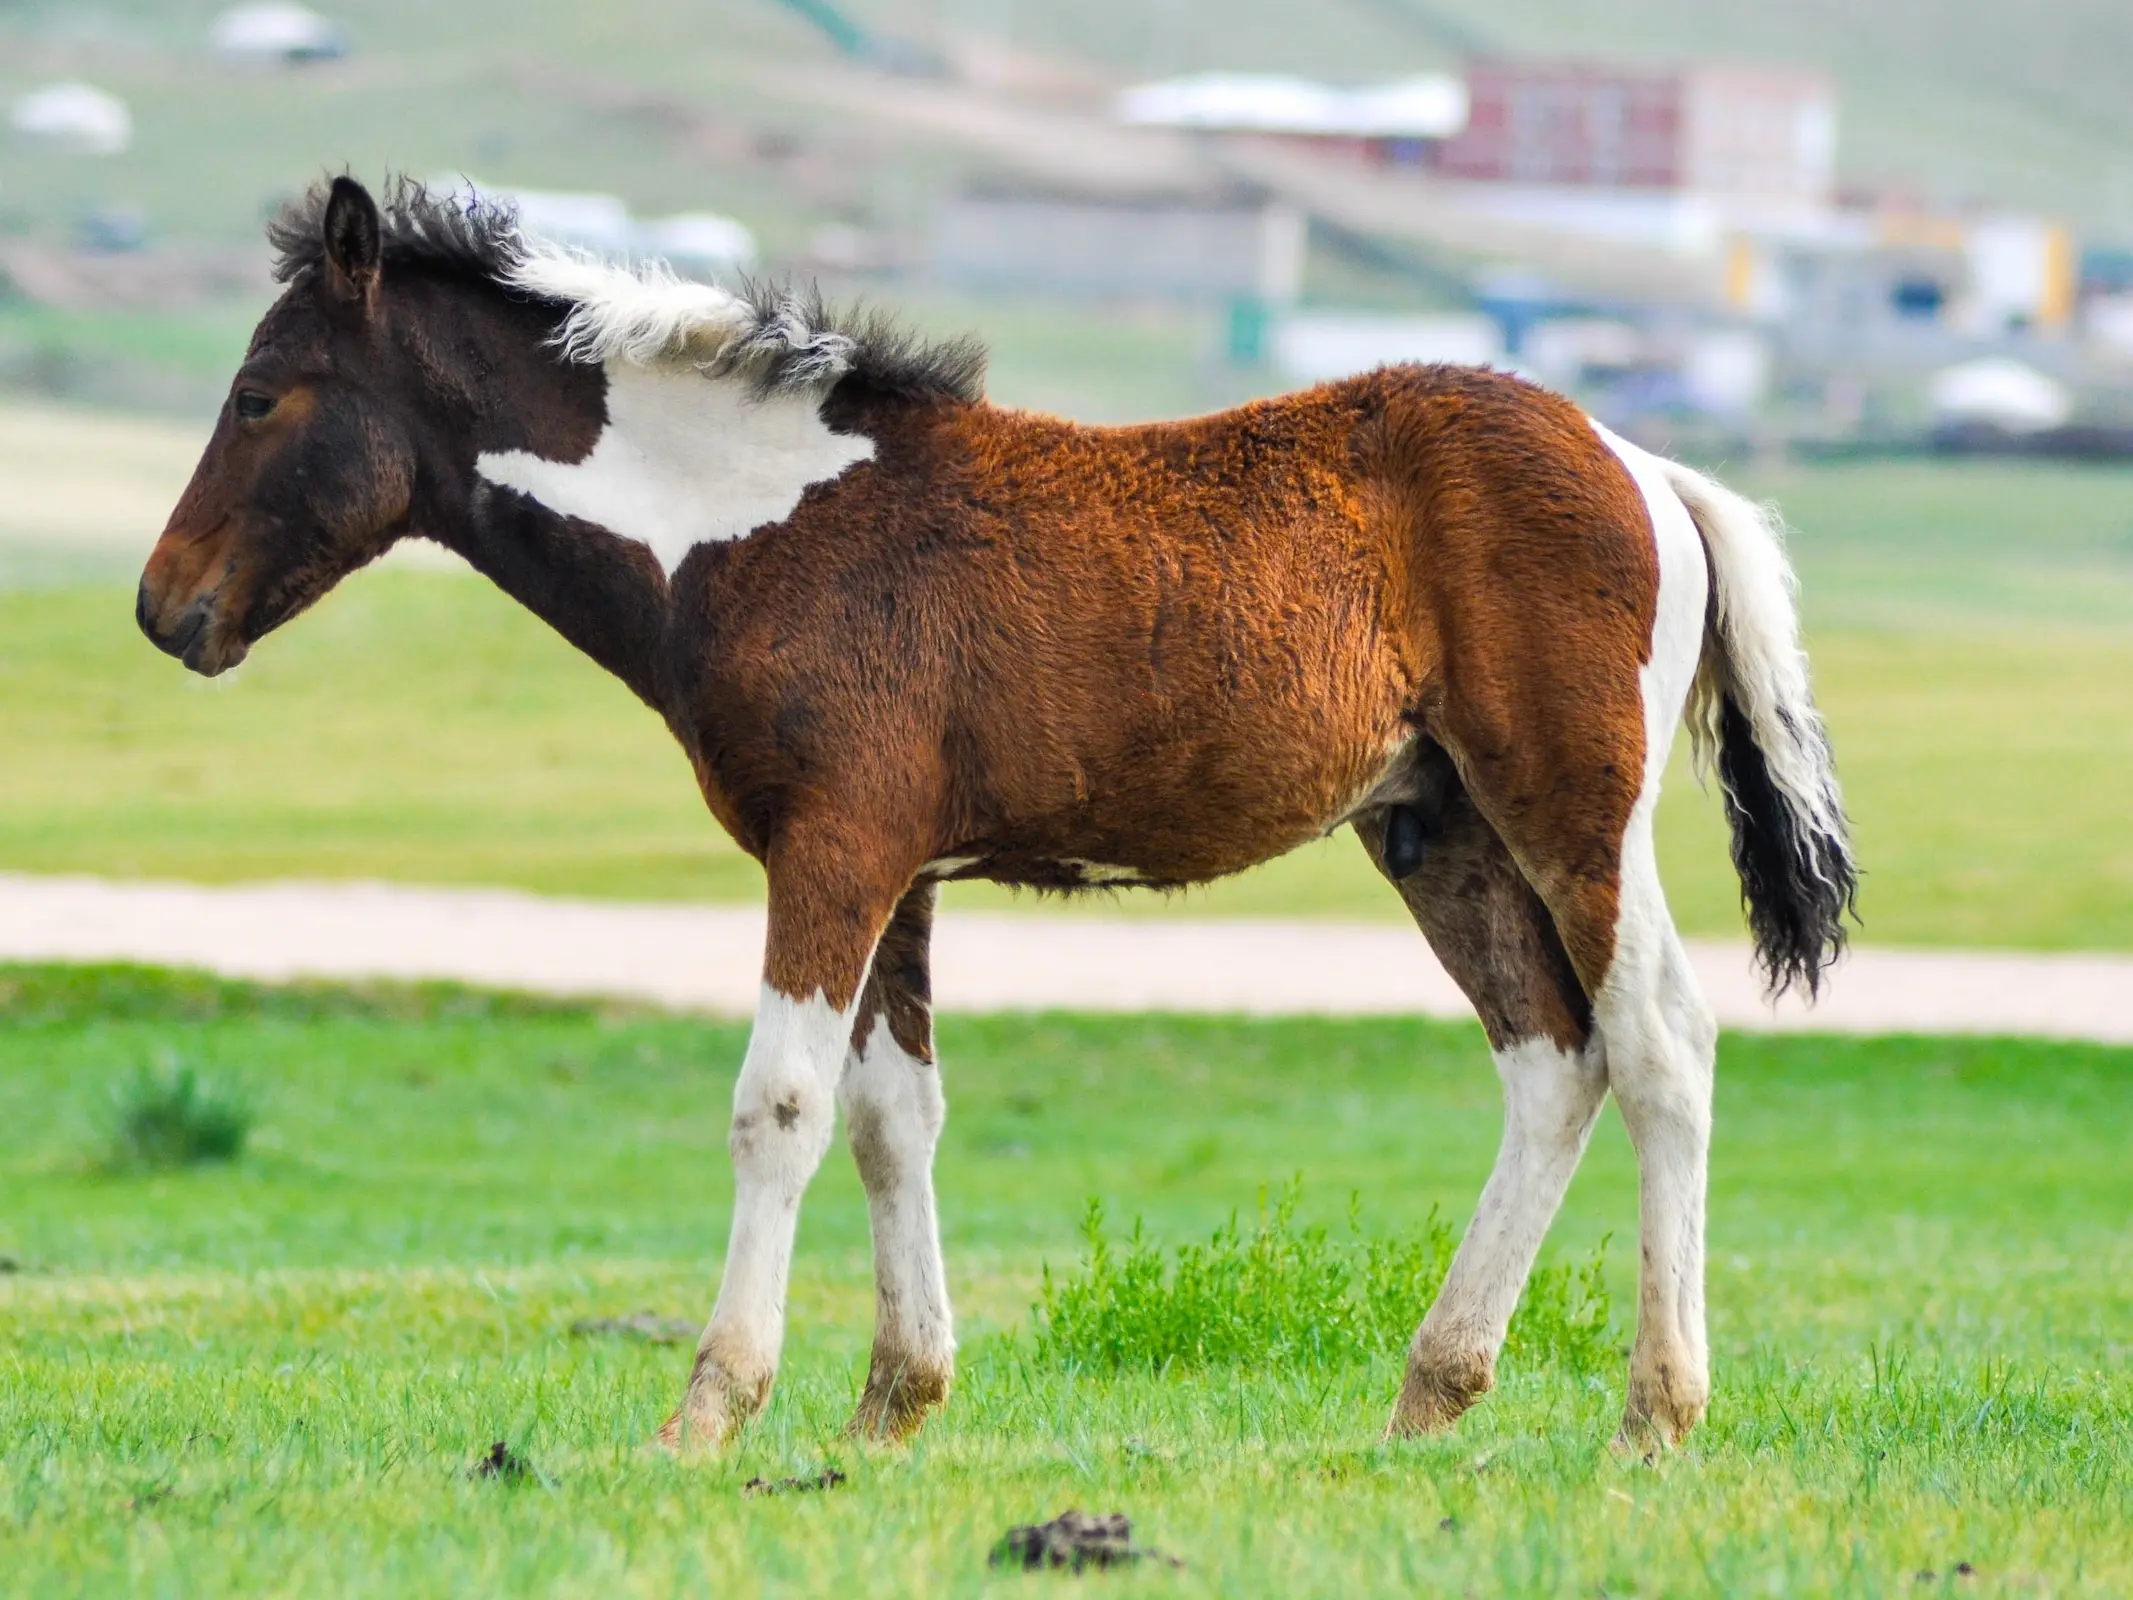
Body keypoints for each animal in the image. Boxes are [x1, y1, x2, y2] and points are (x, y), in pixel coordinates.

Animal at [141, 181, 1859, 1459]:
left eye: (257, 394)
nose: (168, 610)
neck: (752, 532)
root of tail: (1648, 467)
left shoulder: (830, 854)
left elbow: (779, 1107)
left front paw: (708, 1410)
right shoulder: (897, 873)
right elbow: (893, 1118)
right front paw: (893, 1406)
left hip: (1570, 807)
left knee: (1657, 1042)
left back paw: (1653, 1415)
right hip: (1435, 830)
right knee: (1551, 1057)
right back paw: (1429, 1397)